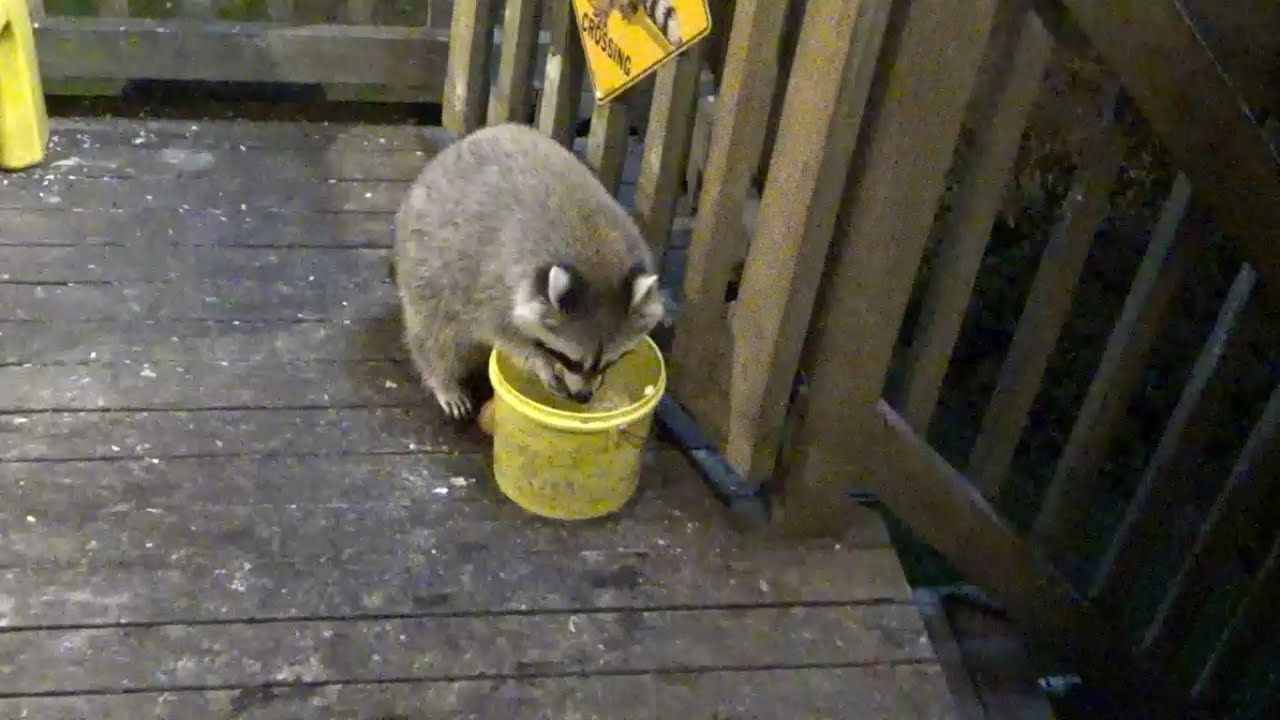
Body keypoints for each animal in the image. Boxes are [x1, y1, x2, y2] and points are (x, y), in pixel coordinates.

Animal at [392, 123, 664, 420]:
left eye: (609, 362)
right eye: (570, 360)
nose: (583, 397)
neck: (596, 259)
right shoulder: (493, 283)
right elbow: (501, 331)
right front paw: (539, 361)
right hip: (426, 261)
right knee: (435, 333)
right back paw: (443, 380)